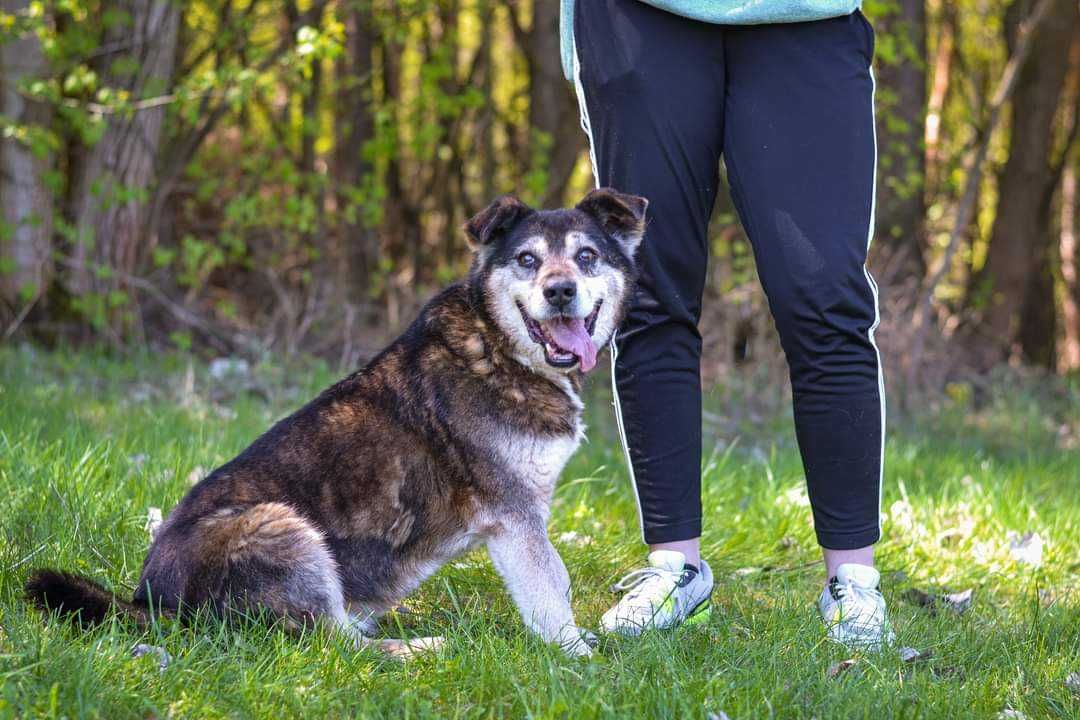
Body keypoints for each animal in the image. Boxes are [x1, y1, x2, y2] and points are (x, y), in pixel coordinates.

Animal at [27, 187, 648, 660]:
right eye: (527, 260)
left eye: (586, 256)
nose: (560, 291)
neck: (499, 346)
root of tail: (149, 602)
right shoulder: (515, 515)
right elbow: (549, 590)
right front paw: (578, 659)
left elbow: (555, 582)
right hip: (281, 528)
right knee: (332, 645)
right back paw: (420, 648)